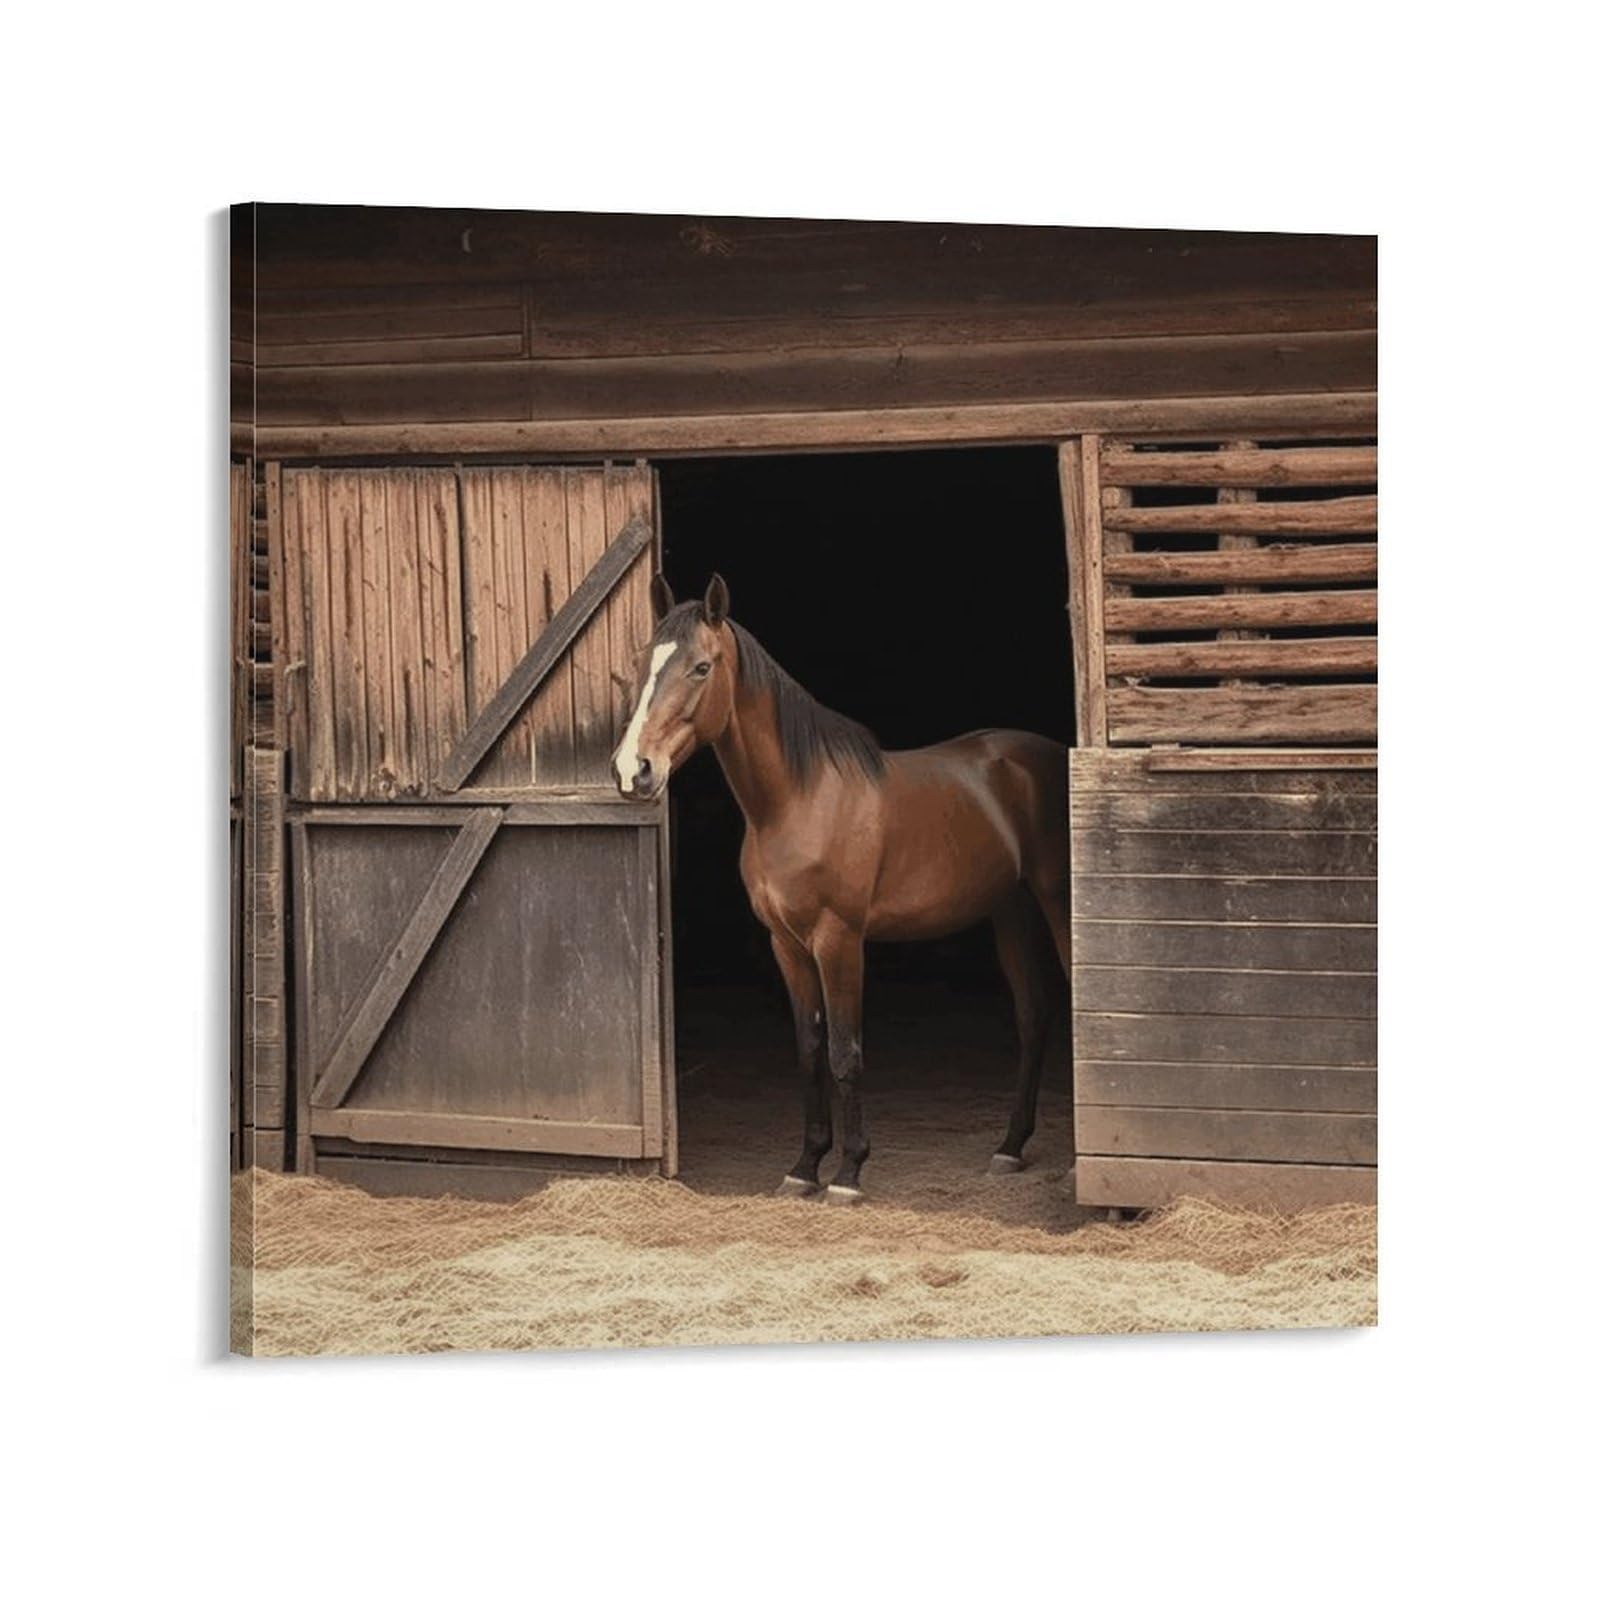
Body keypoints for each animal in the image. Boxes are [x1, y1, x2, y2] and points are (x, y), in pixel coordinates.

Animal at [612, 573, 1073, 1205]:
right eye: (643, 663)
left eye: (701, 667)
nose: (633, 770)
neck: (800, 799)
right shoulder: (786, 943)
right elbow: (809, 1052)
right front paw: (805, 1166)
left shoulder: (839, 940)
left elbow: (844, 1051)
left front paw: (849, 1173)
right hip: (1011, 911)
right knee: (1033, 1014)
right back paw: (1009, 1147)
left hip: (1057, 904)